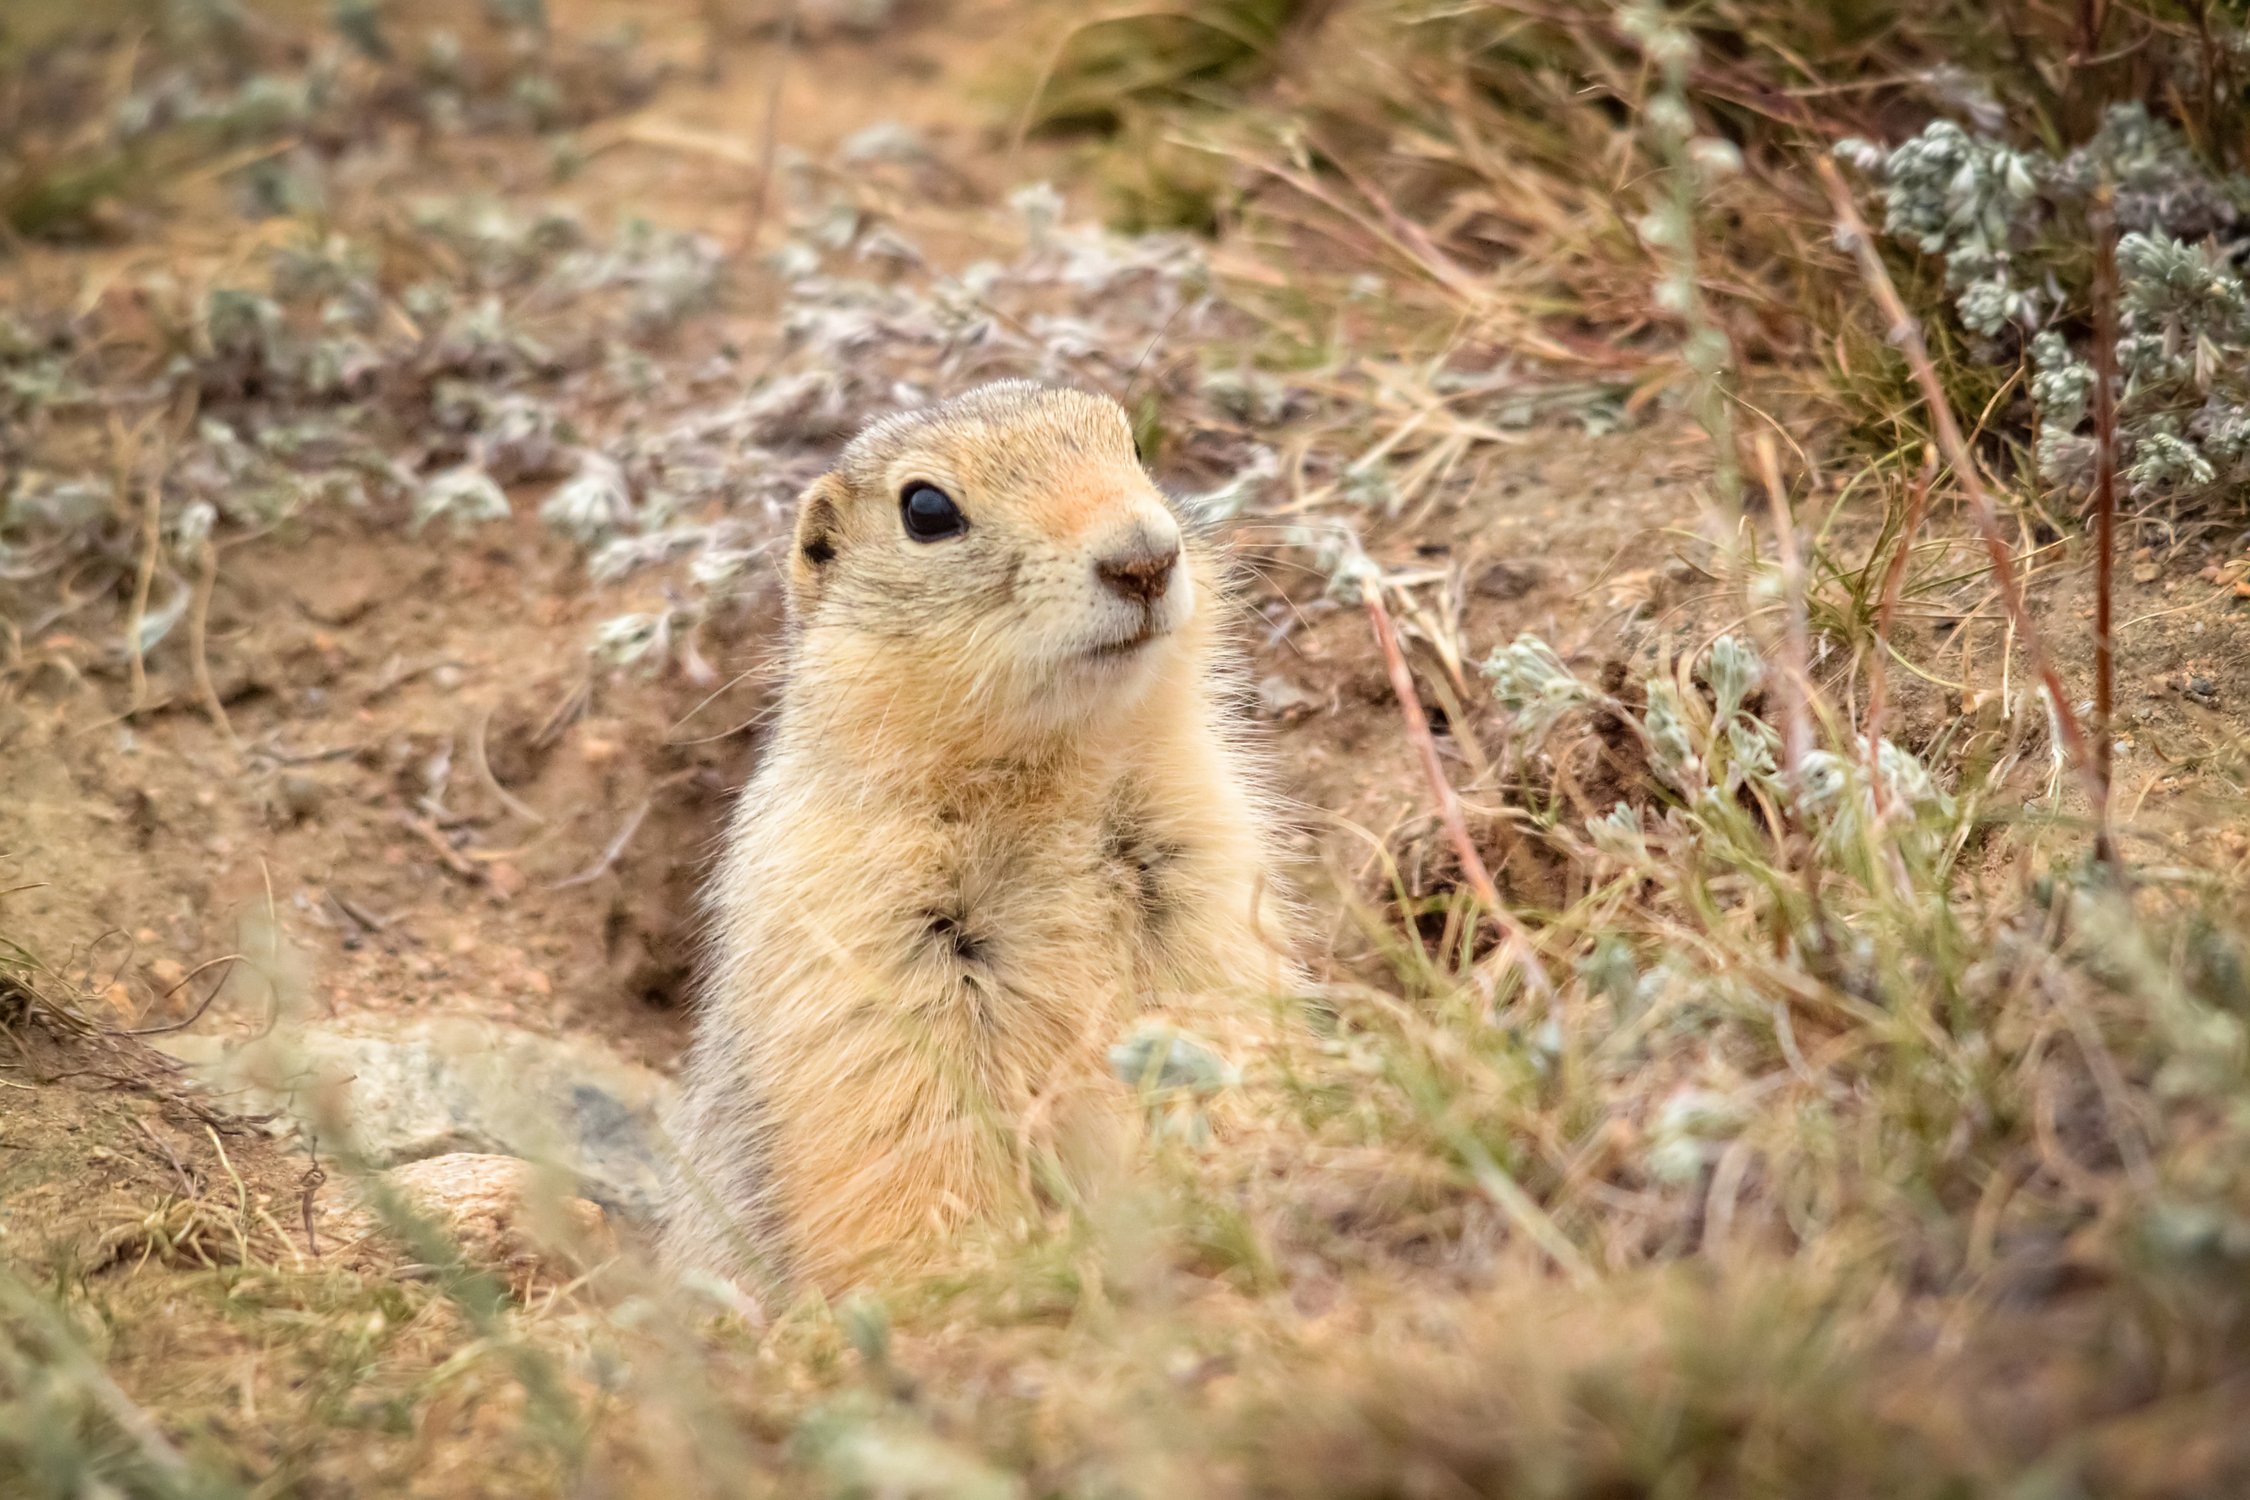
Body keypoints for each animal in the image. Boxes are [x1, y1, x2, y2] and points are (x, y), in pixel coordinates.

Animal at [661, 375, 1305, 1295]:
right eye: (925, 509)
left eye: (1132, 446)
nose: (1144, 558)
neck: (1049, 778)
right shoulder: (857, 934)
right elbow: (910, 1136)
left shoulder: (1201, 870)